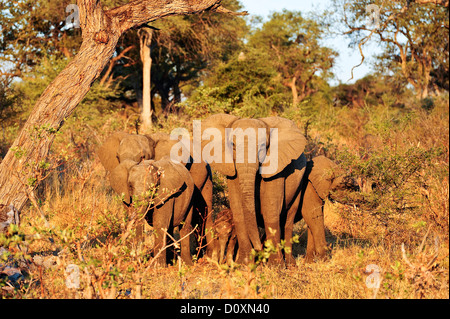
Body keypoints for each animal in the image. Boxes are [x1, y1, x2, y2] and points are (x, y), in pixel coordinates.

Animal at [200, 115, 308, 264]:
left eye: (262, 147)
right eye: (233, 145)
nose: (258, 250)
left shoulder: (276, 168)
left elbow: (270, 208)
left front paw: (275, 265)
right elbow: (238, 209)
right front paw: (244, 263)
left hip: (299, 183)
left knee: (288, 220)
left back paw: (290, 264)